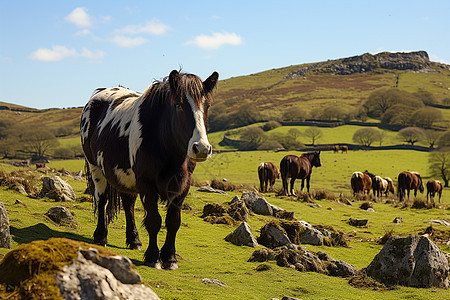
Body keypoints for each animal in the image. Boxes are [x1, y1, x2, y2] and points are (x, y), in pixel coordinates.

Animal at [82, 69, 220, 270]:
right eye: (178, 105)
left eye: (207, 105)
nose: (201, 148)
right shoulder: (146, 183)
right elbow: (154, 220)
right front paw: (153, 257)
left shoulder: (183, 185)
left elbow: (173, 222)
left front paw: (170, 258)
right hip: (95, 168)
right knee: (102, 200)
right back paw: (101, 237)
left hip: (125, 176)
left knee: (128, 204)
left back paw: (134, 240)